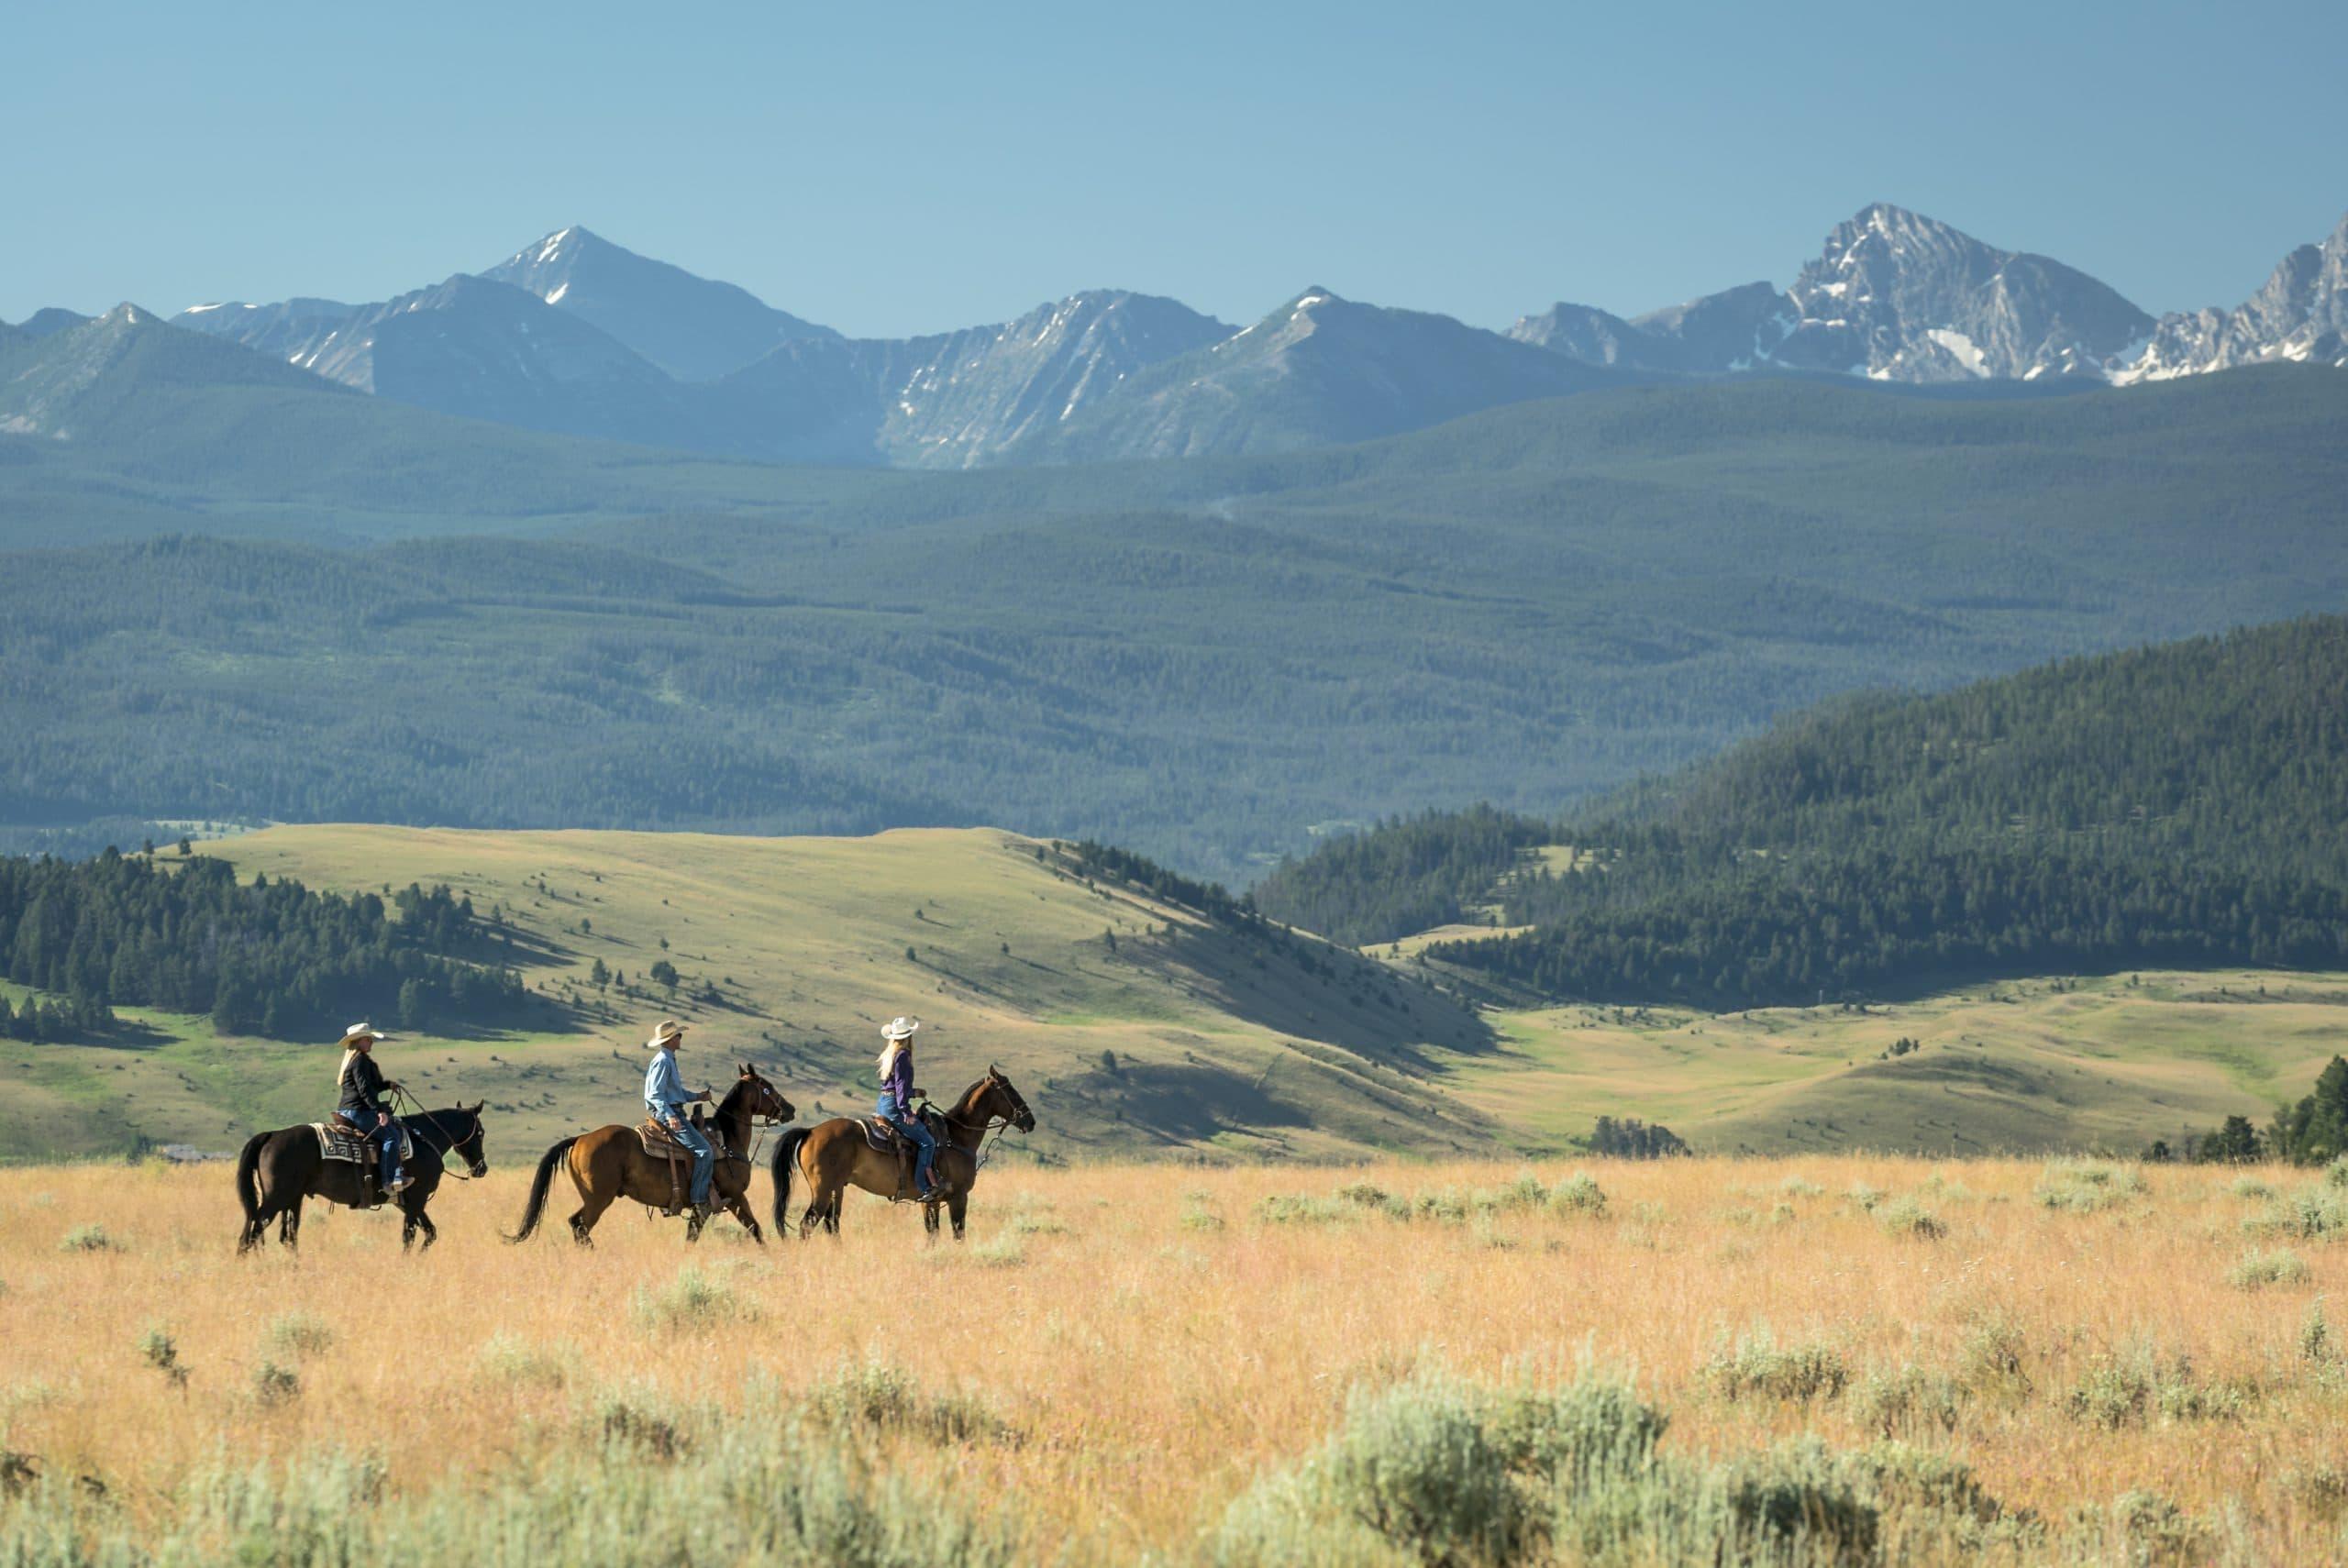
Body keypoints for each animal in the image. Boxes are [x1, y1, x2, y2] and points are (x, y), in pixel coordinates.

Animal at [235, 1103, 491, 1258]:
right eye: (481, 1132)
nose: (481, 1168)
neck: (424, 1139)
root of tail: (272, 1135)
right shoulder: (416, 1199)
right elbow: (411, 1235)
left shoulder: (406, 1202)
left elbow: (429, 1232)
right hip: (276, 1197)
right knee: (254, 1230)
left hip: (292, 1198)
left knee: (287, 1236)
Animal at [509, 1066, 793, 1248]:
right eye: (767, 1088)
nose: (790, 1109)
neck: (727, 1140)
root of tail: (580, 1139)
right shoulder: (734, 1196)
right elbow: (755, 1228)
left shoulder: (708, 1207)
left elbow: (693, 1236)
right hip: (598, 1198)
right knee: (579, 1224)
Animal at [770, 1070, 1037, 1239]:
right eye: (1010, 1090)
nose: (1030, 1121)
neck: (956, 1137)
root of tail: (811, 1132)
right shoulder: (958, 1197)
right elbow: (958, 1233)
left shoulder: (929, 1201)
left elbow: (933, 1233)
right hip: (823, 1190)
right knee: (808, 1225)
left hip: (836, 1190)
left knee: (831, 1225)